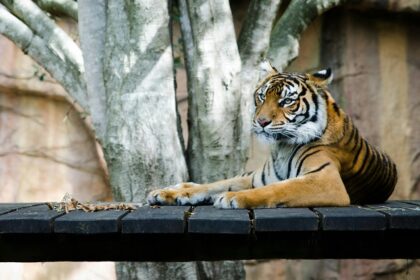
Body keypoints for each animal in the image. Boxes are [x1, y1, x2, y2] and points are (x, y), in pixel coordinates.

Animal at [146, 62, 396, 209]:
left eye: (286, 101)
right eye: (261, 96)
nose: (261, 122)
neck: (282, 147)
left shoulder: (326, 180)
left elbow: (280, 188)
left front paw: (233, 198)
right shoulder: (257, 177)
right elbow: (215, 184)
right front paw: (171, 194)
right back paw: (173, 188)